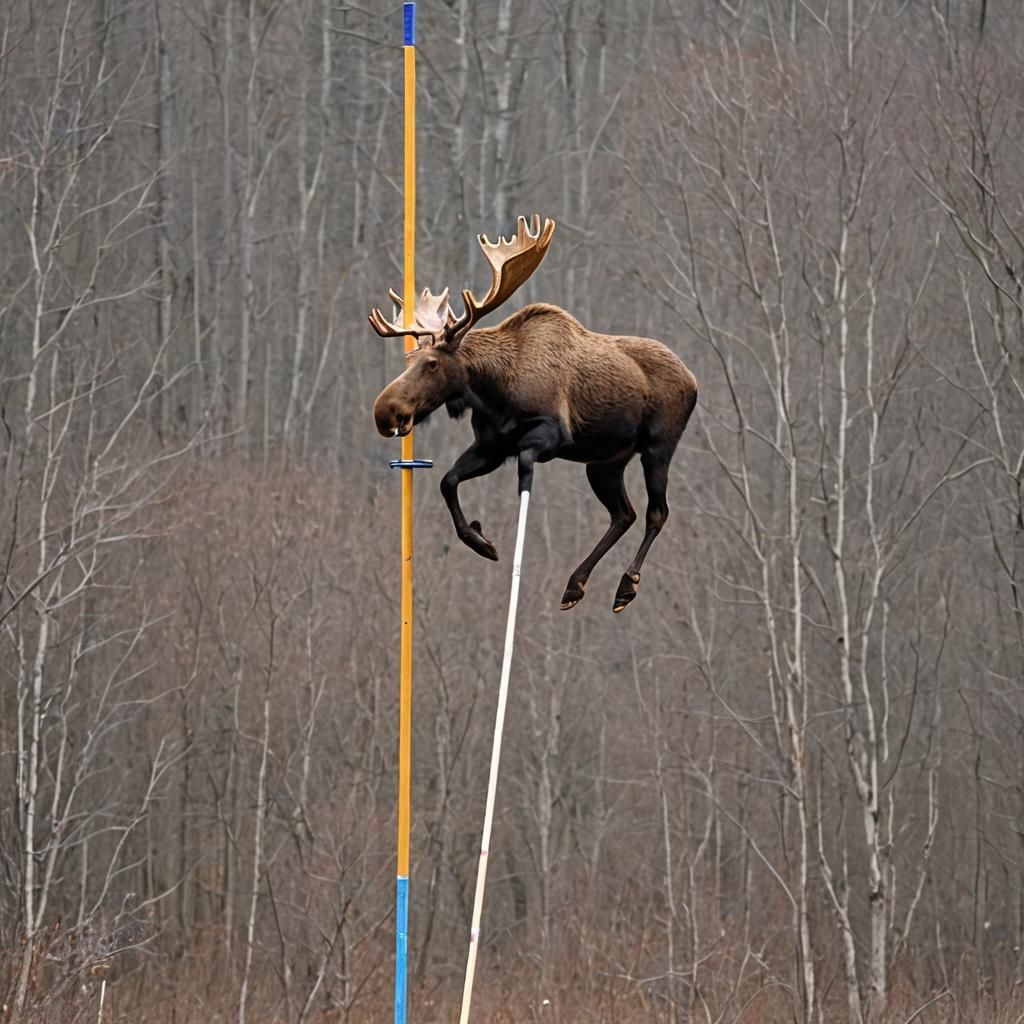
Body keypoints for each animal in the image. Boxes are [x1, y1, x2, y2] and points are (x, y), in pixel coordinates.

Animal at [369, 215, 697, 612]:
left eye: (432, 363)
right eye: (410, 358)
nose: (384, 411)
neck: (493, 391)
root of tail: (693, 380)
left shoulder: (550, 435)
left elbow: (524, 468)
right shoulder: (492, 447)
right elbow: (448, 481)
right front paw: (482, 542)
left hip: (657, 448)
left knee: (655, 512)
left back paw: (625, 586)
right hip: (604, 463)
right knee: (624, 514)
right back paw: (575, 586)